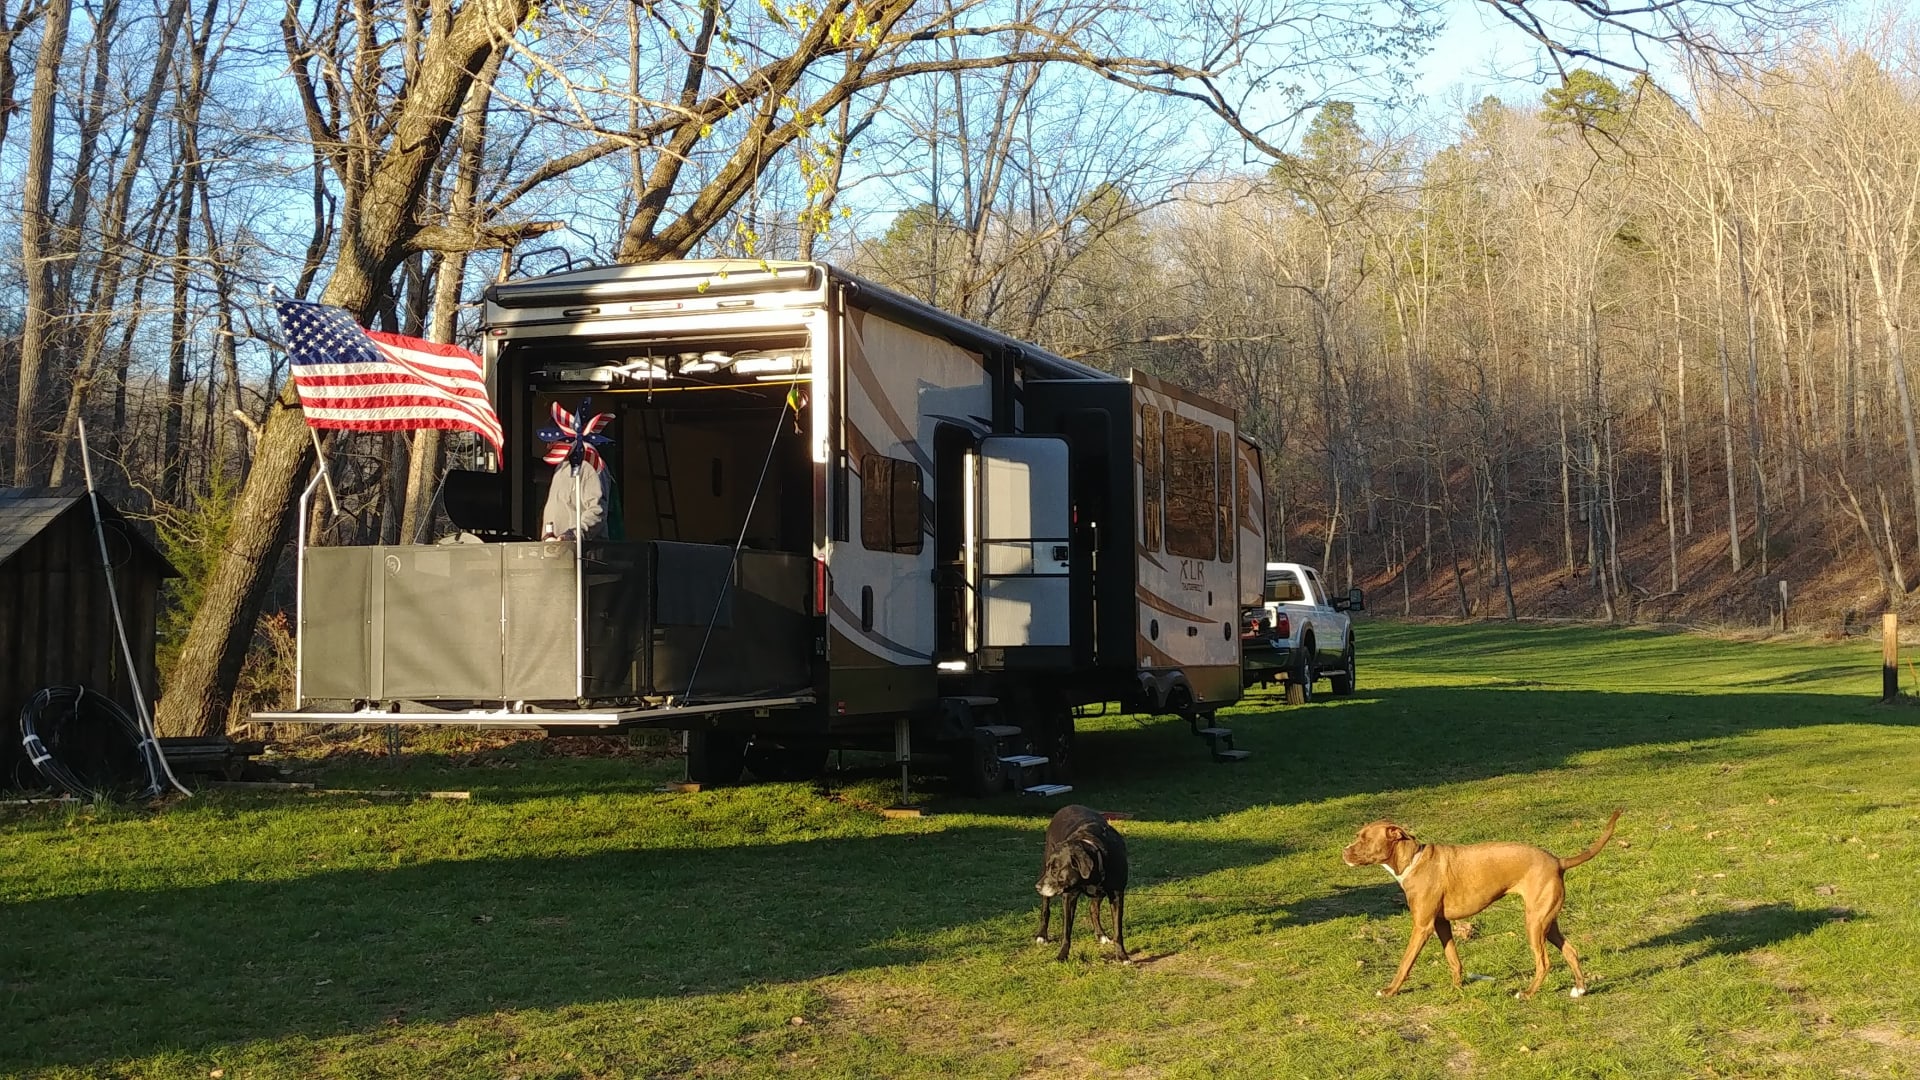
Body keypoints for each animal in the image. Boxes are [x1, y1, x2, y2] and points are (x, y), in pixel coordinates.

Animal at [1036, 799, 1121, 957]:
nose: (1037, 887)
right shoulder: (1069, 896)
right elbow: (1066, 930)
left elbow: (1118, 931)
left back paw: (1101, 934)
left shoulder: (1117, 895)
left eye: (1056, 870)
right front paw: (1062, 955)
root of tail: (1067, 807)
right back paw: (1042, 935)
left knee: (1093, 909)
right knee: (1045, 909)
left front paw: (1123, 956)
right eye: (1052, 869)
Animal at [1351, 807, 1620, 991]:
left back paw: (1527, 994)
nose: (1345, 851)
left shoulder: (1422, 926)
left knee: (1544, 963)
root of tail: (1558, 861)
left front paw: (1390, 990)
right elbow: (1453, 959)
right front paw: (1457, 987)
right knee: (1571, 951)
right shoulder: (1441, 924)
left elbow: (1405, 962)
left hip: (1534, 925)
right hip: (1547, 922)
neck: (1413, 861)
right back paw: (1580, 989)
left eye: (1364, 839)